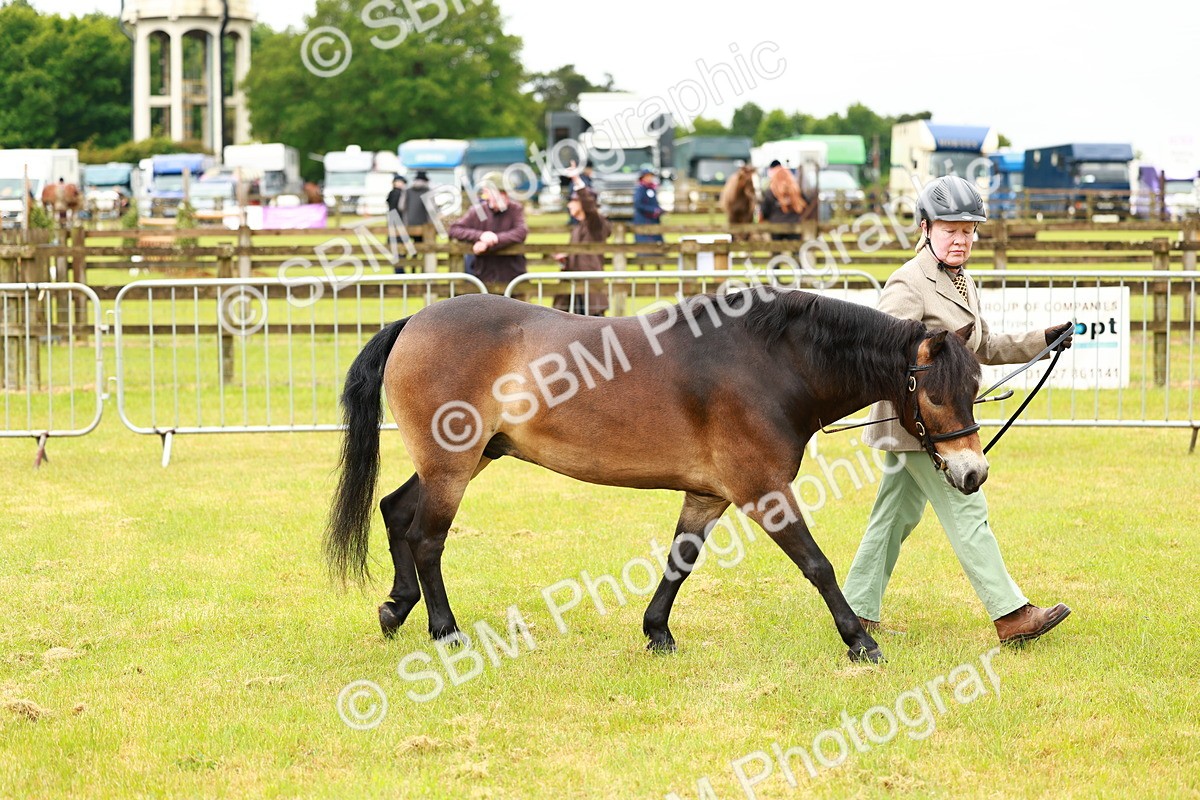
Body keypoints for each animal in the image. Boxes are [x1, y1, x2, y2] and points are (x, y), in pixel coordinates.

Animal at [324, 287, 987, 664]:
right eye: (934, 397)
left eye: (975, 387)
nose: (973, 472)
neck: (770, 363)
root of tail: (413, 321)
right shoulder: (763, 492)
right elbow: (818, 565)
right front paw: (861, 642)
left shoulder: (708, 494)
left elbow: (679, 561)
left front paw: (657, 633)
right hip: (453, 466)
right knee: (427, 538)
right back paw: (444, 631)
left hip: (471, 457)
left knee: (396, 512)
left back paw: (395, 609)